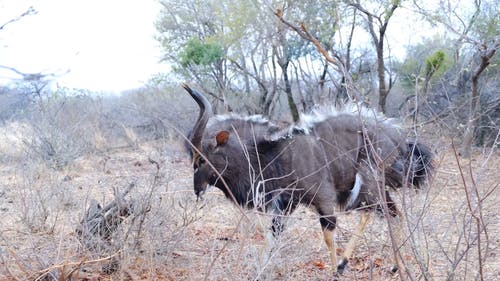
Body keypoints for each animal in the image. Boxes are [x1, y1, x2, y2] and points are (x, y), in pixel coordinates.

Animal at [184, 83, 434, 274]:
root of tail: (401, 139)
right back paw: (393, 266)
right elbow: (273, 237)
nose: (197, 189)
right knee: (394, 213)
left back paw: (344, 264)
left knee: (373, 213)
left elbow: (328, 233)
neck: (276, 155)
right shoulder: (286, 204)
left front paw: (333, 271)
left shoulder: (323, 199)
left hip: (369, 182)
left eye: (202, 159)